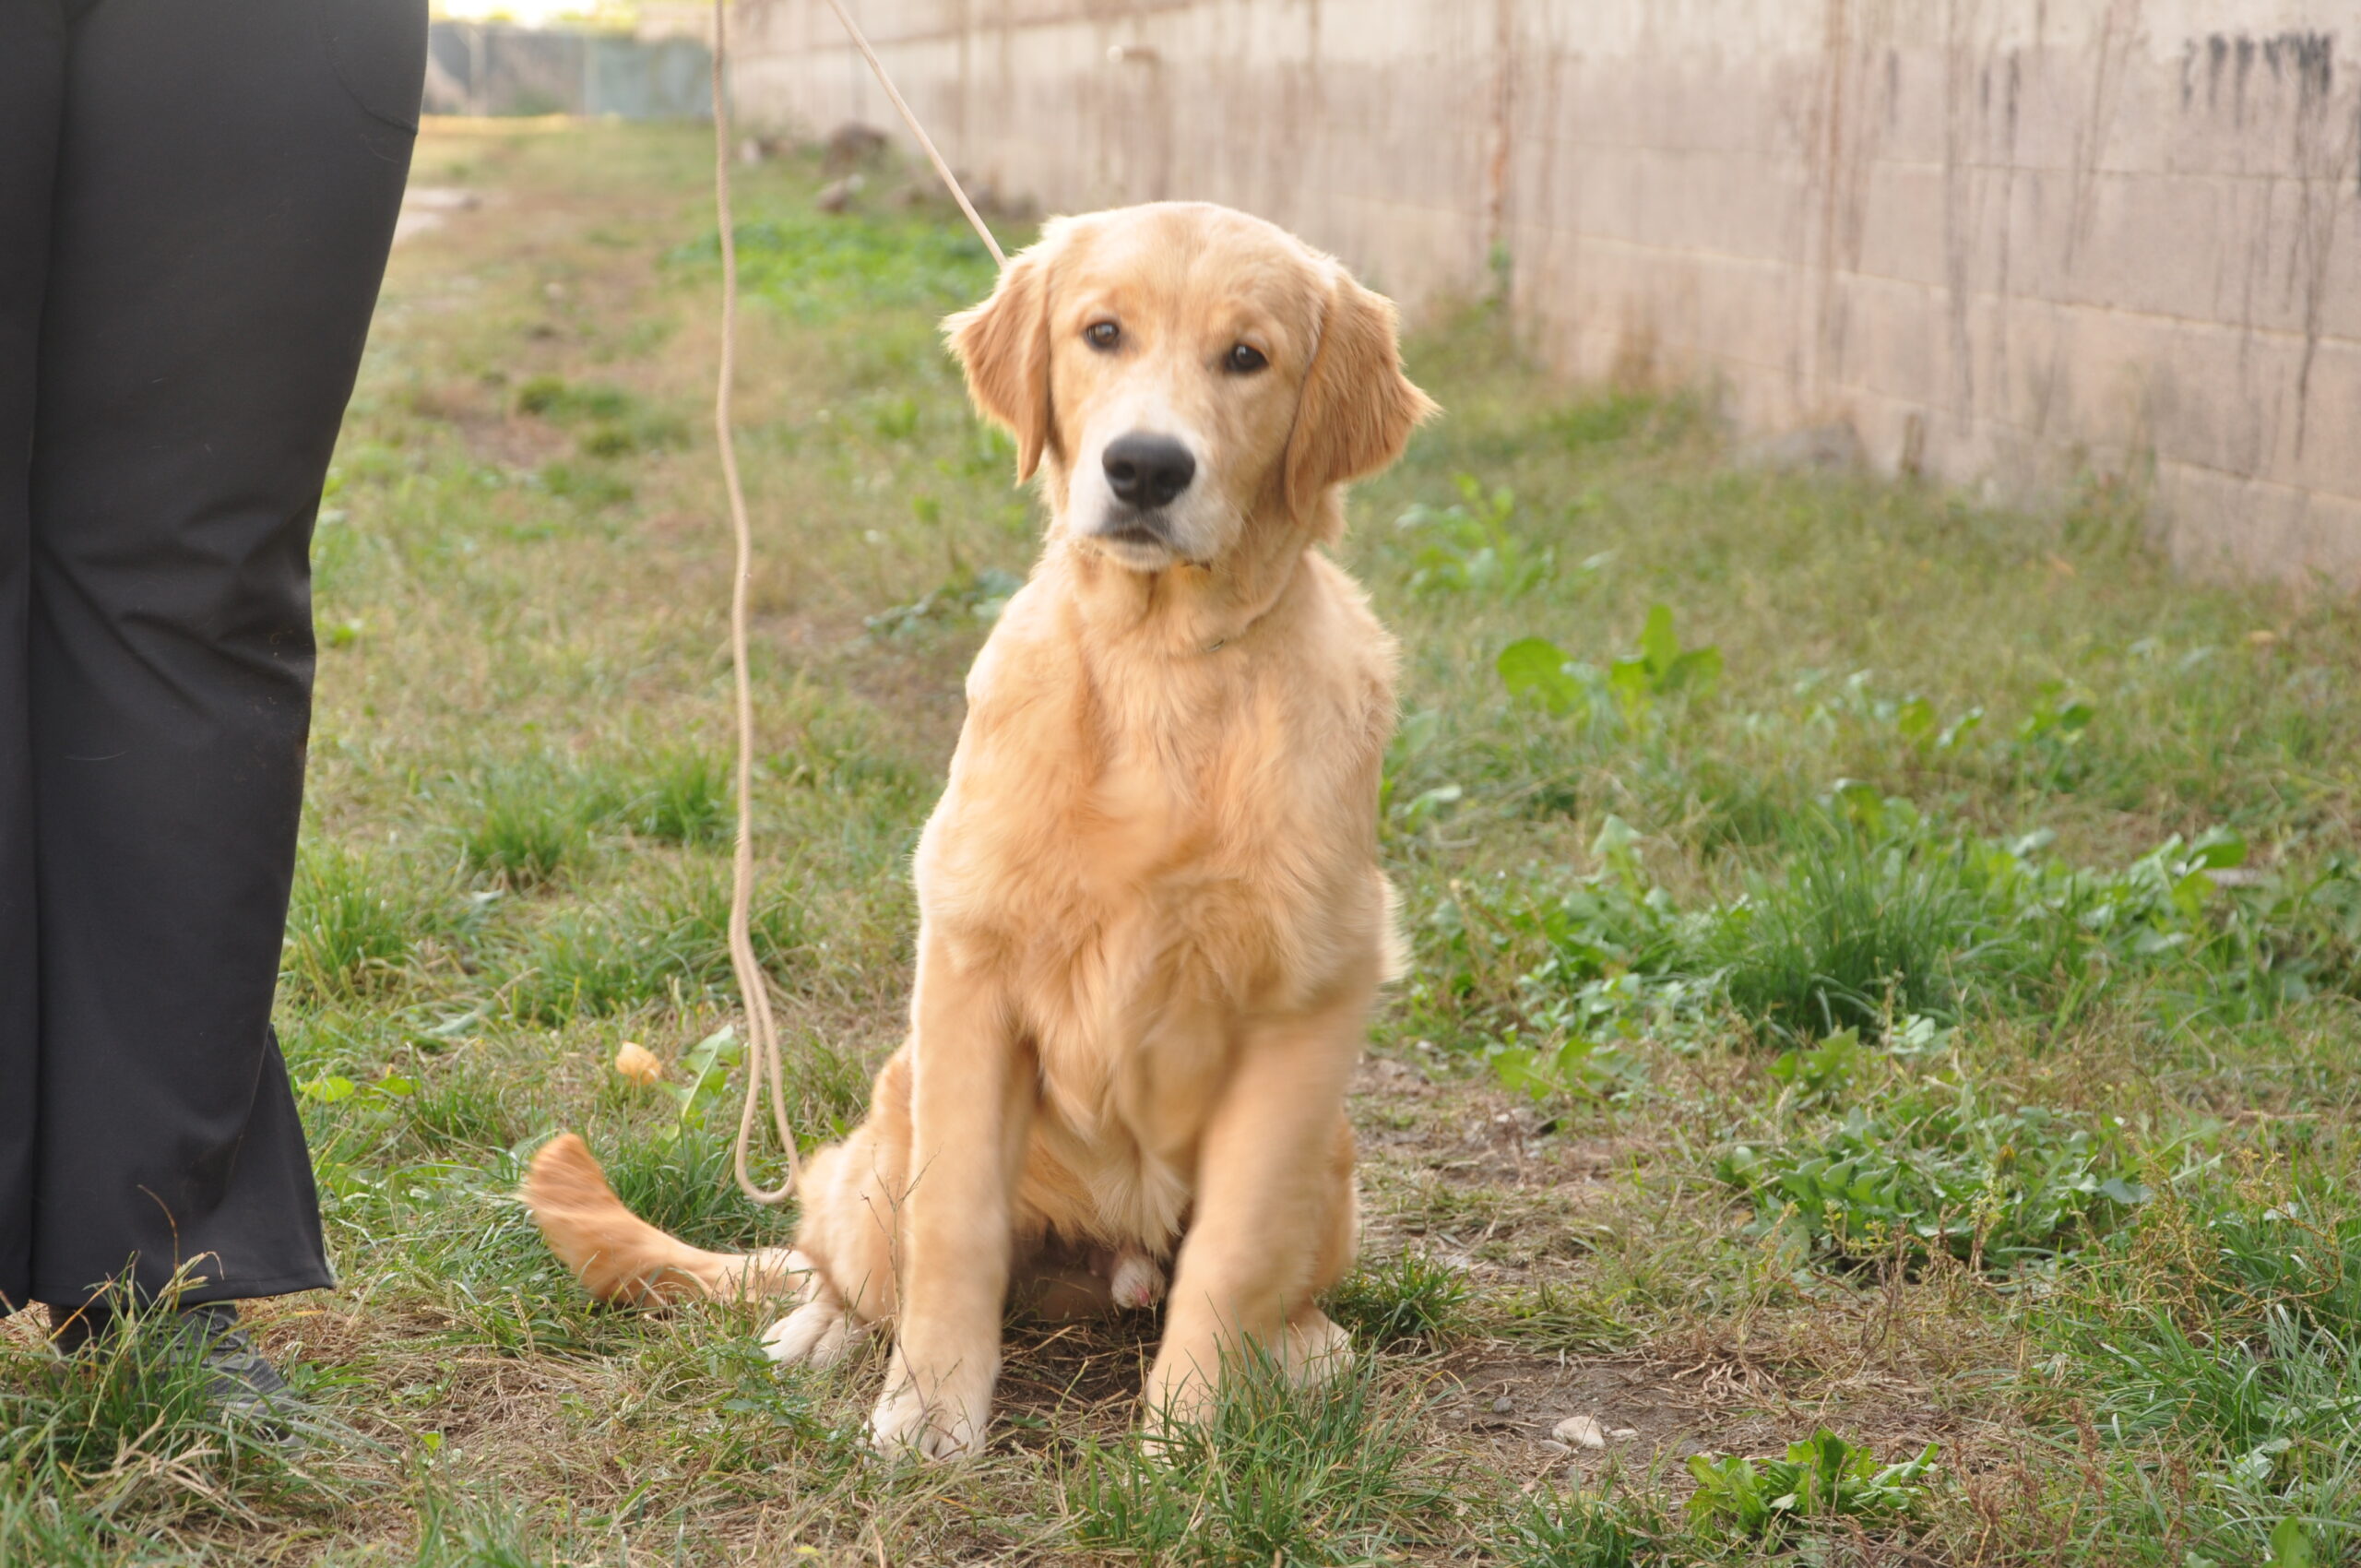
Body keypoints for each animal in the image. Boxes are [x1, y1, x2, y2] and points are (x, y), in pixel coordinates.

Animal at [523, 201, 1436, 1459]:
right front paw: (931, 1412)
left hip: (1332, 1160)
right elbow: (952, 1226)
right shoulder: (969, 965)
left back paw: (1298, 1349)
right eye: (1101, 332)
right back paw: (824, 1329)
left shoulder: (1309, 999)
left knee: (1260, 1269)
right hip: (889, 1117)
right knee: (841, 1251)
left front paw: (1193, 1438)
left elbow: (1236, 1249)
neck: (1159, 665)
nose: (1144, 465)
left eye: (1247, 357)